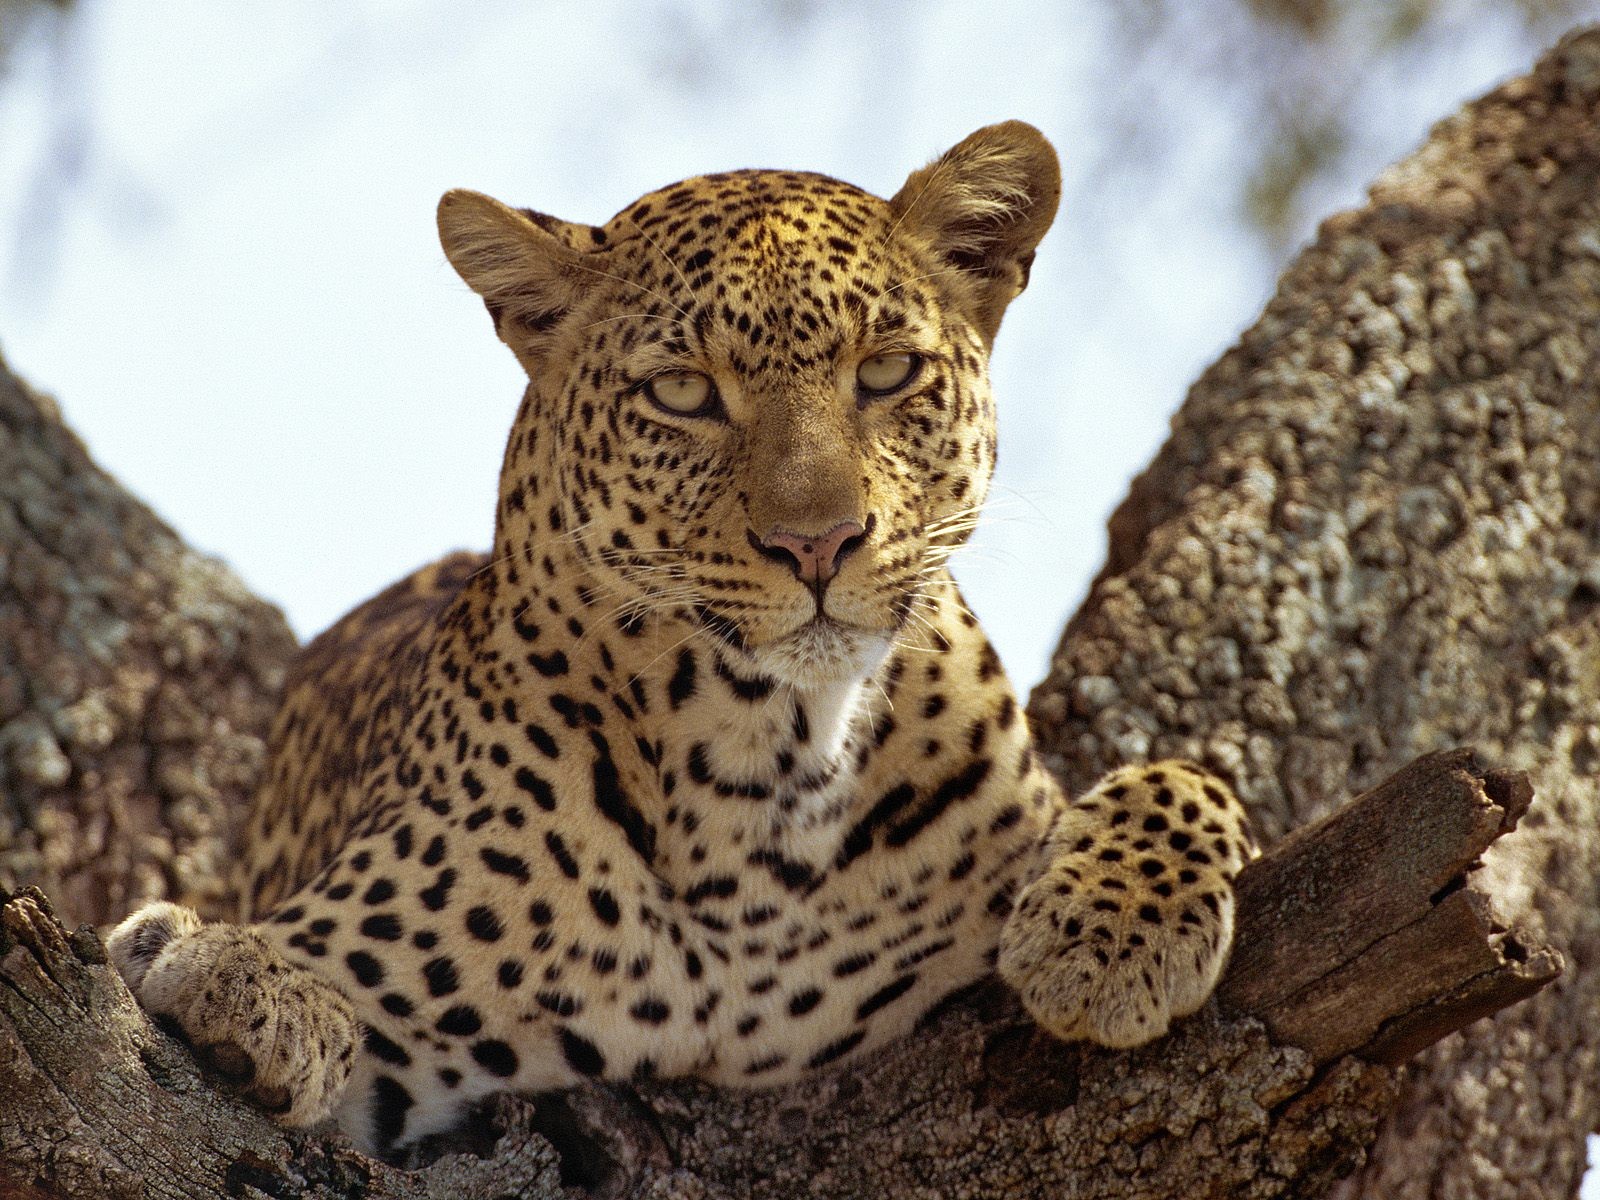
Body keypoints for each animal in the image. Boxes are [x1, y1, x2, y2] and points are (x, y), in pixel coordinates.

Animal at [109, 122, 1260, 1158]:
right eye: (682, 392)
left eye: (887, 372)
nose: (817, 542)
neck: (766, 767)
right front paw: (235, 977)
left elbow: (1189, 777)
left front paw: (1109, 937)